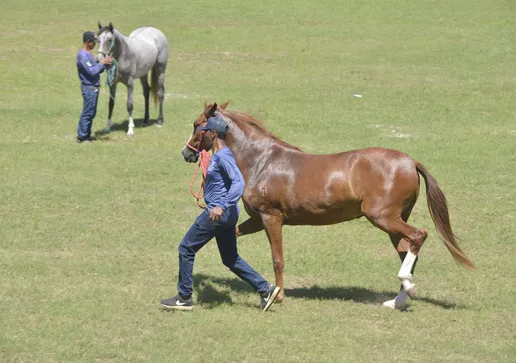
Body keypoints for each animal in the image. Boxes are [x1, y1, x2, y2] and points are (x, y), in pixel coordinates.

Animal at [181, 101, 476, 310]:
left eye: (197, 124)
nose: (186, 153)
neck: (261, 162)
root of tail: (409, 160)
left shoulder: (271, 217)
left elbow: (278, 259)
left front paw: (277, 296)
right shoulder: (256, 219)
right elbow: (234, 235)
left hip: (384, 218)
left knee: (418, 236)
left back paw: (408, 288)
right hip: (394, 222)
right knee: (407, 250)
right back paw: (398, 300)